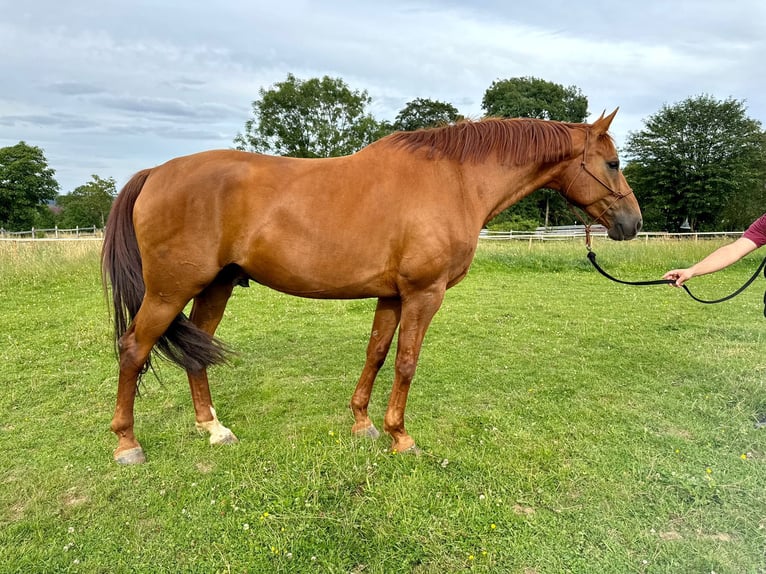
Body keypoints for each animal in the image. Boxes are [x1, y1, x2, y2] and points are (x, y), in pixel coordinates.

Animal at [102, 110, 640, 466]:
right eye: (613, 163)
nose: (632, 223)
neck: (455, 180)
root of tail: (155, 173)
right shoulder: (424, 294)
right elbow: (406, 362)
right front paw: (400, 435)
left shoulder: (392, 295)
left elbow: (377, 353)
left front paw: (362, 423)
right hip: (169, 292)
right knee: (133, 349)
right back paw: (128, 444)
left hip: (215, 287)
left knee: (197, 352)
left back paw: (213, 428)